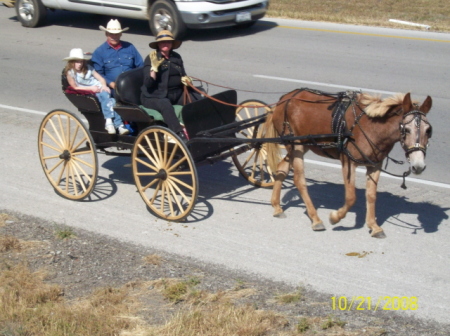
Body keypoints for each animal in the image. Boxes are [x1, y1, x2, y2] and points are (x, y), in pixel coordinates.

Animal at [264, 88, 432, 238]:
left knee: (281, 169)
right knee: (299, 180)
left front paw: (374, 226)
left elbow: (371, 195)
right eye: (406, 129)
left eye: (428, 130)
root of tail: (285, 98)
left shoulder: (374, 165)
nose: (418, 166)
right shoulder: (348, 162)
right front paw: (335, 217)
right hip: (296, 145)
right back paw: (315, 218)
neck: (371, 127)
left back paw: (277, 206)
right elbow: (351, 197)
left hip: (301, 146)